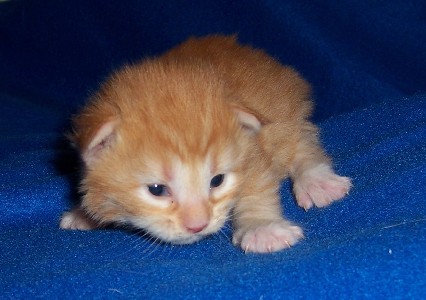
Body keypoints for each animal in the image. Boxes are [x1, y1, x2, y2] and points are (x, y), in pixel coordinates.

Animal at [60, 36, 352, 254]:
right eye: (157, 190)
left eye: (217, 181)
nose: (197, 226)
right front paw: (84, 214)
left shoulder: (253, 146)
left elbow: (257, 189)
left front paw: (262, 228)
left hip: (284, 113)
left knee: (302, 144)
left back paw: (317, 182)